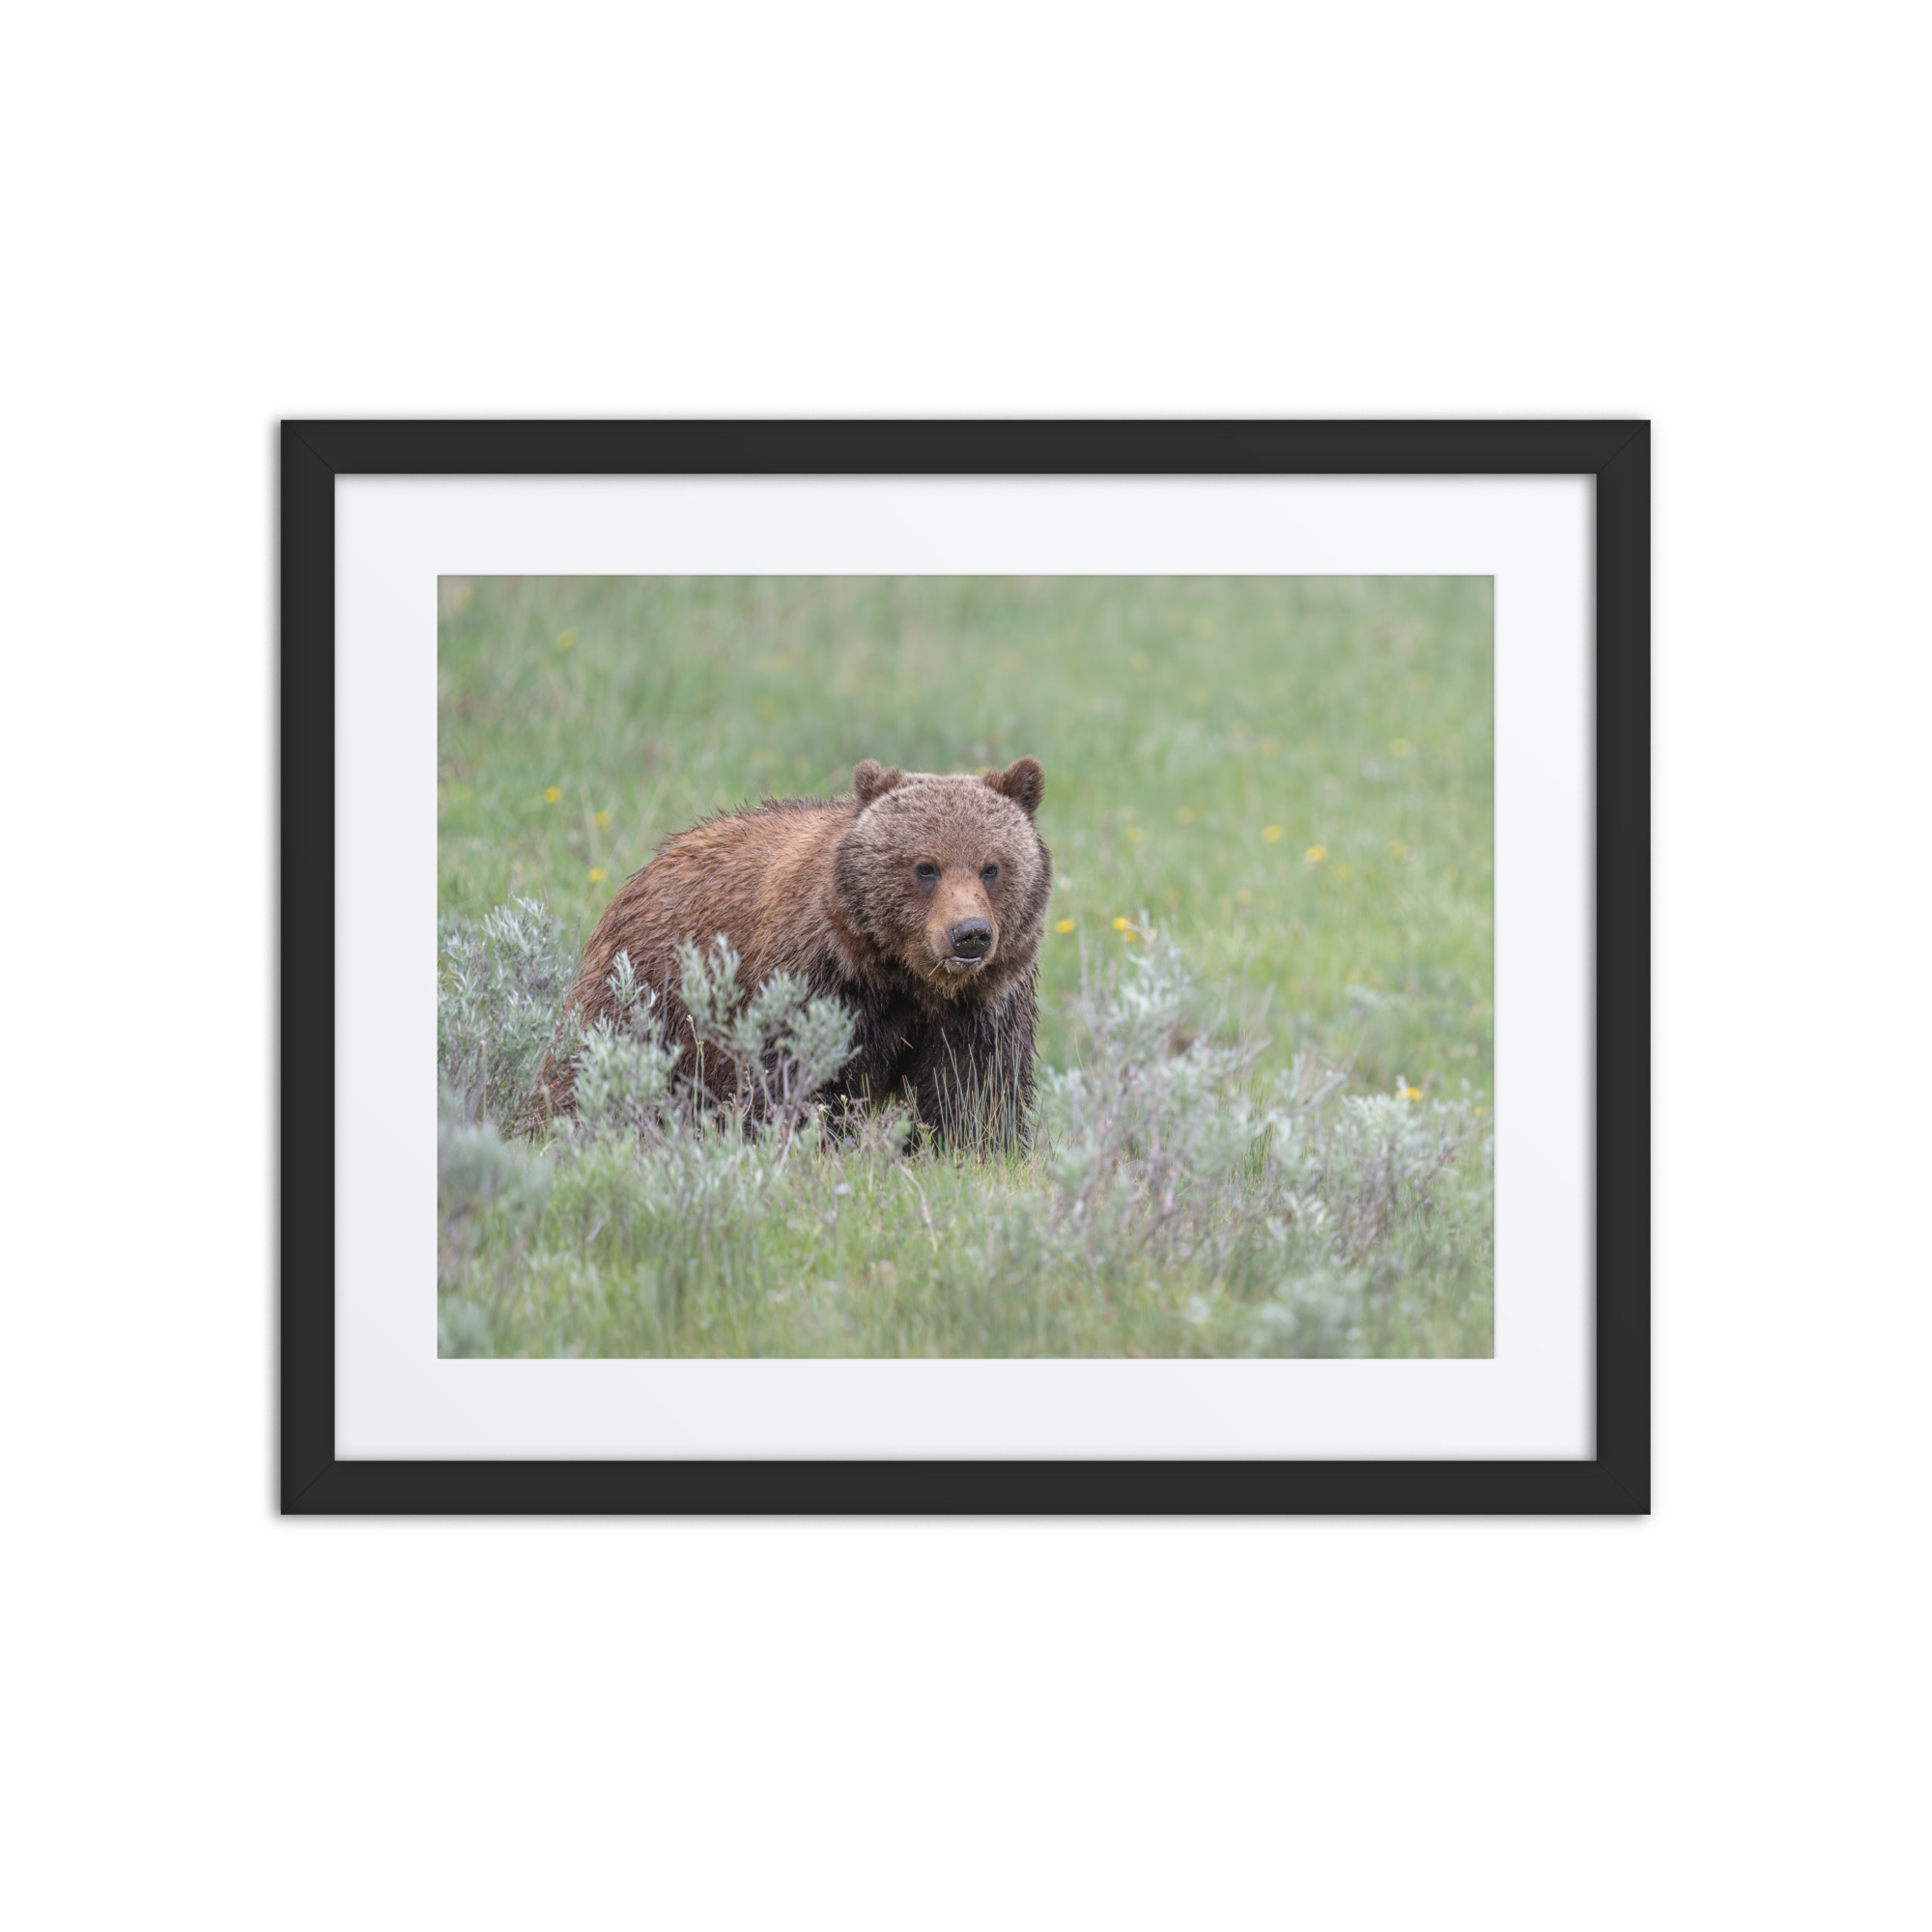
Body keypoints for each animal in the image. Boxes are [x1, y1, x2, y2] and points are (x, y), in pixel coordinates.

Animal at [547, 756, 1052, 1138]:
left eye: (992, 867)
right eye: (925, 867)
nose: (970, 933)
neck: (903, 976)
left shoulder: (981, 1005)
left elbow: (974, 1091)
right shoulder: (816, 980)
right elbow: (794, 1078)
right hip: (645, 990)